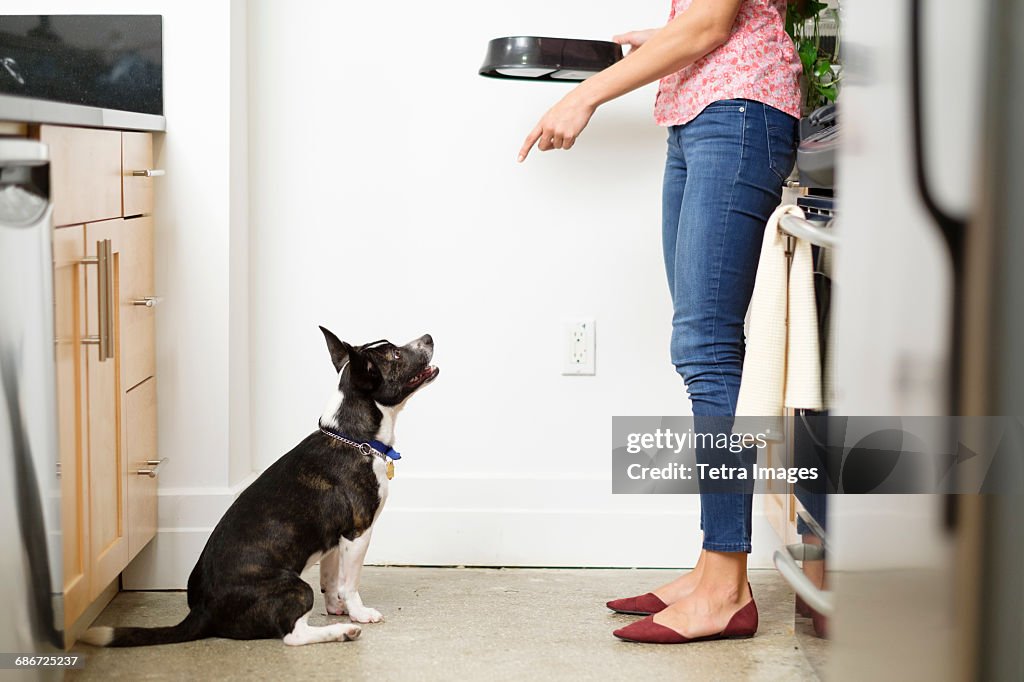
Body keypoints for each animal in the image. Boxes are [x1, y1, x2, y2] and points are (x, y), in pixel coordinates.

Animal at [81, 327, 438, 647]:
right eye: (394, 354)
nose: (429, 337)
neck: (354, 438)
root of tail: (202, 611)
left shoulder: (335, 540)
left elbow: (331, 578)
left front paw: (337, 608)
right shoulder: (358, 533)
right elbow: (349, 583)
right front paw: (359, 613)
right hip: (296, 586)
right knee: (292, 636)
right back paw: (342, 632)